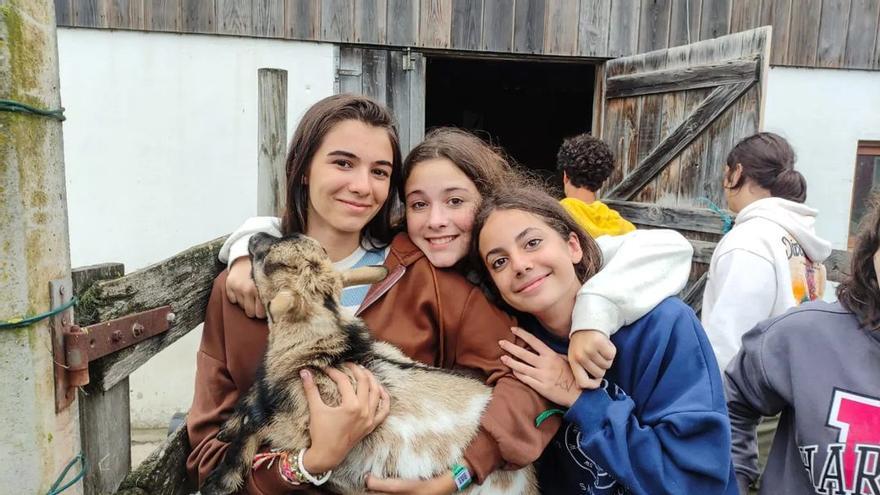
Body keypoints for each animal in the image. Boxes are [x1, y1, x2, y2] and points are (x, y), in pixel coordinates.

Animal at [201, 233, 536, 495]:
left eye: (272, 264)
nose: (254, 238)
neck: (330, 351)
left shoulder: (299, 426)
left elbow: (254, 429)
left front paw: (218, 481)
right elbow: (252, 403)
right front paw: (227, 427)